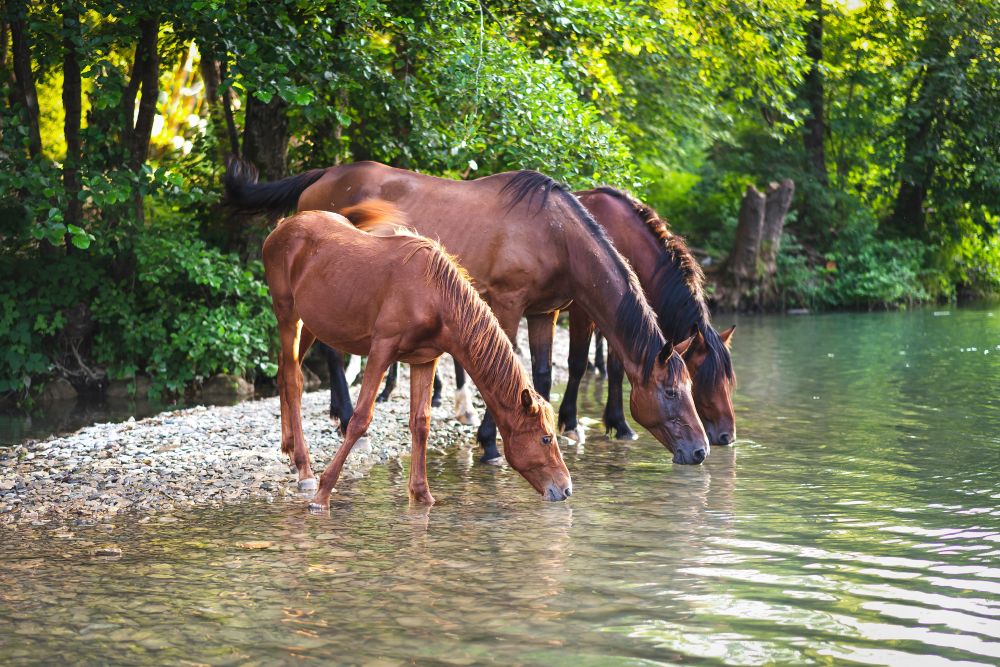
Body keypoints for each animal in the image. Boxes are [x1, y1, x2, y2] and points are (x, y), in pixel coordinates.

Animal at [227, 158, 711, 465]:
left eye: (693, 386)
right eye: (672, 392)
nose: (702, 449)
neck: (555, 233)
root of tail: (324, 175)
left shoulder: (544, 313)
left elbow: (540, 376)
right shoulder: (508, 304)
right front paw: (489, 445)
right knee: (326, 353)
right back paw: (346, 418)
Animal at [262, 202, 572, 508]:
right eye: (546, 439)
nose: (566, 488)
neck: (435, 295)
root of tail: (283, 226)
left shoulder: (425, 360)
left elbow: (421, 422)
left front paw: (422, 494)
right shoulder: (381, 350)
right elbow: (360, 419)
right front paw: (323, 493)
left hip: (311, 323)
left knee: (284, 372)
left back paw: (288, 446)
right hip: (287, 315)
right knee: (293, 380)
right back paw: (304, 469)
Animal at [557, 188, 736, 446]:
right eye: (703, 379)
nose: (727, 436)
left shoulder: (622, 316)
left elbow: (616, 370)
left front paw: (620, 424)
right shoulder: (583, 313)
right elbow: (578, 363)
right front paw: (570, 422)